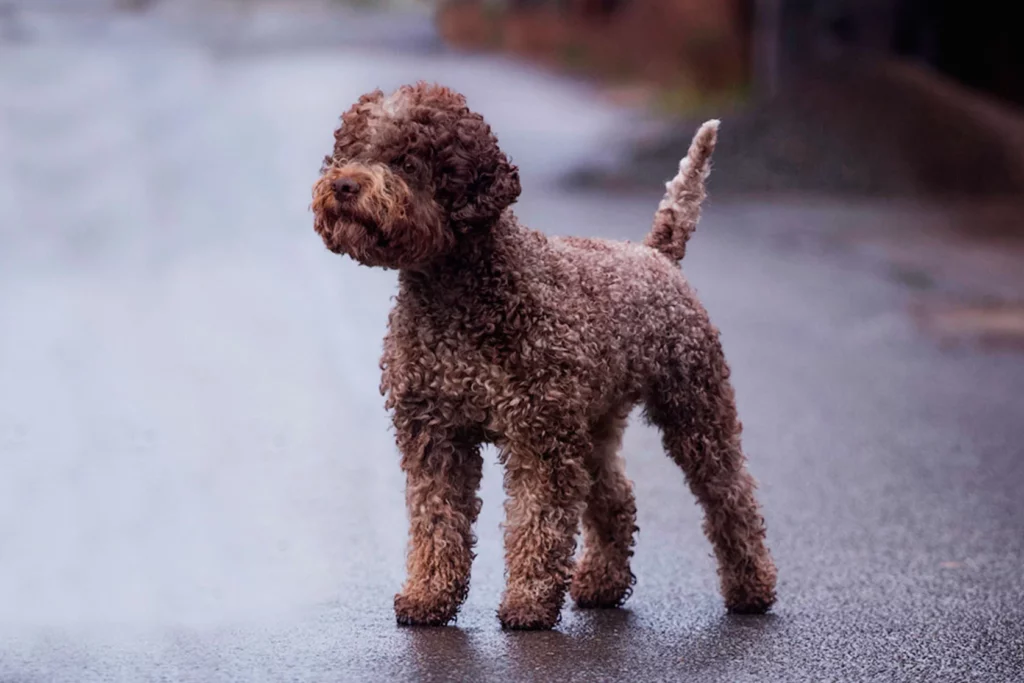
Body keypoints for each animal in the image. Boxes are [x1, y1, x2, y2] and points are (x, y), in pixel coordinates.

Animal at [311, 83, 774, 630]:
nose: (343, 185)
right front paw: (428, 595)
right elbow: (436, 520)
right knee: (617, 497)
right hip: (595, 421)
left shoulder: (539, 435)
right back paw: (602, 582)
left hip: (694, 407)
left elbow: (536, 519)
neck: (458, 294)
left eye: (407, 161)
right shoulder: (434, 434)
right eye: (350, 149)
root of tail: (656, 253)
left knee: (730, 495)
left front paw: (528, 602)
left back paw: (751, 587)